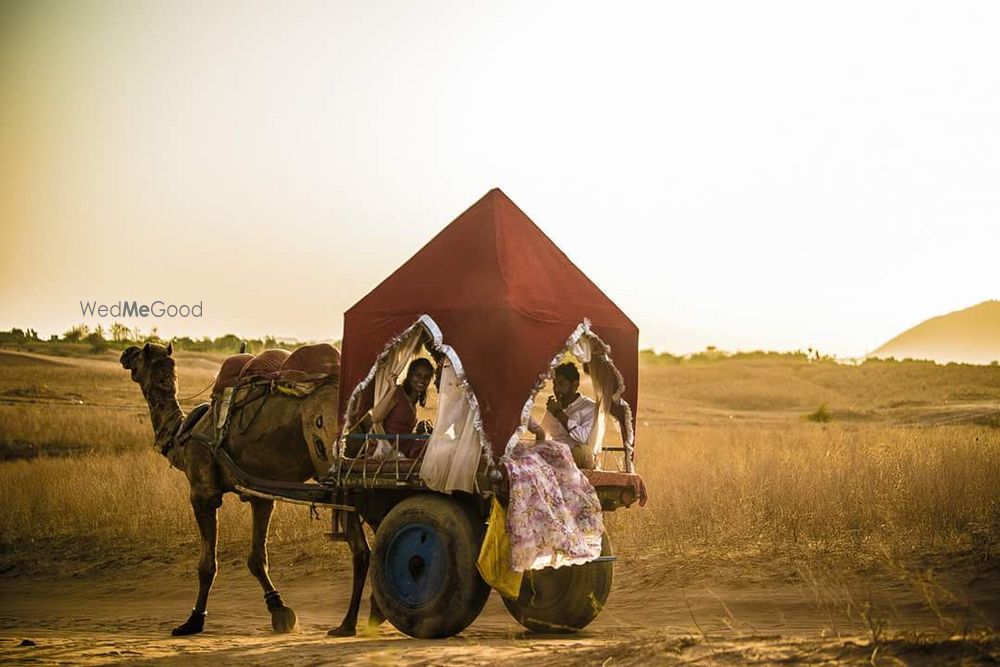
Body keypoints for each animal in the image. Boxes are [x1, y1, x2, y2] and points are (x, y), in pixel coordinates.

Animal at [121, 342, 378, 640]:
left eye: (139, 354)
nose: (125, 353)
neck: (182, 436)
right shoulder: (260, 495)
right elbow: (257, 558)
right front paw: (280, 611)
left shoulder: (203, 492)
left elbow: (207, 565)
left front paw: (193, 621)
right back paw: (373, 615)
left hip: (336, 468)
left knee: (361, 550)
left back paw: (348, 624)